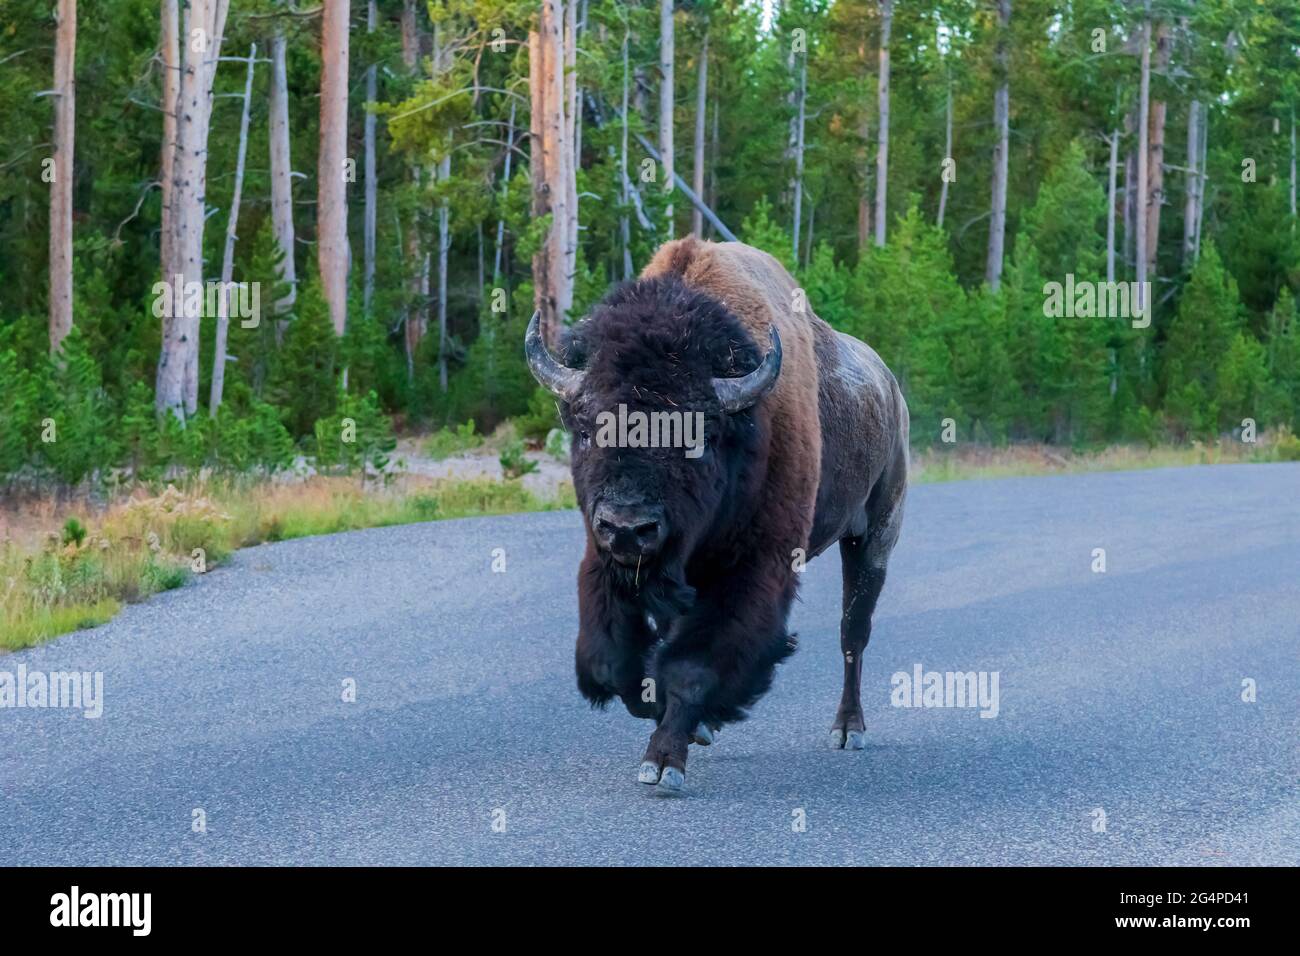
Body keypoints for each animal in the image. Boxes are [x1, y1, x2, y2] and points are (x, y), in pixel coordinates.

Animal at [522, 239, 909, 790]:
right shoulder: (607, 562)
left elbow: (693, 665)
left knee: (853, 632)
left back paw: (848, 729)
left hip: (874, 536)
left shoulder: (754, 568)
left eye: (696, 433)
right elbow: (614, 663)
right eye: (585, 426)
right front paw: (674, 717)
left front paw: (664, 762)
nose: (628, 527)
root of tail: (889, 387)